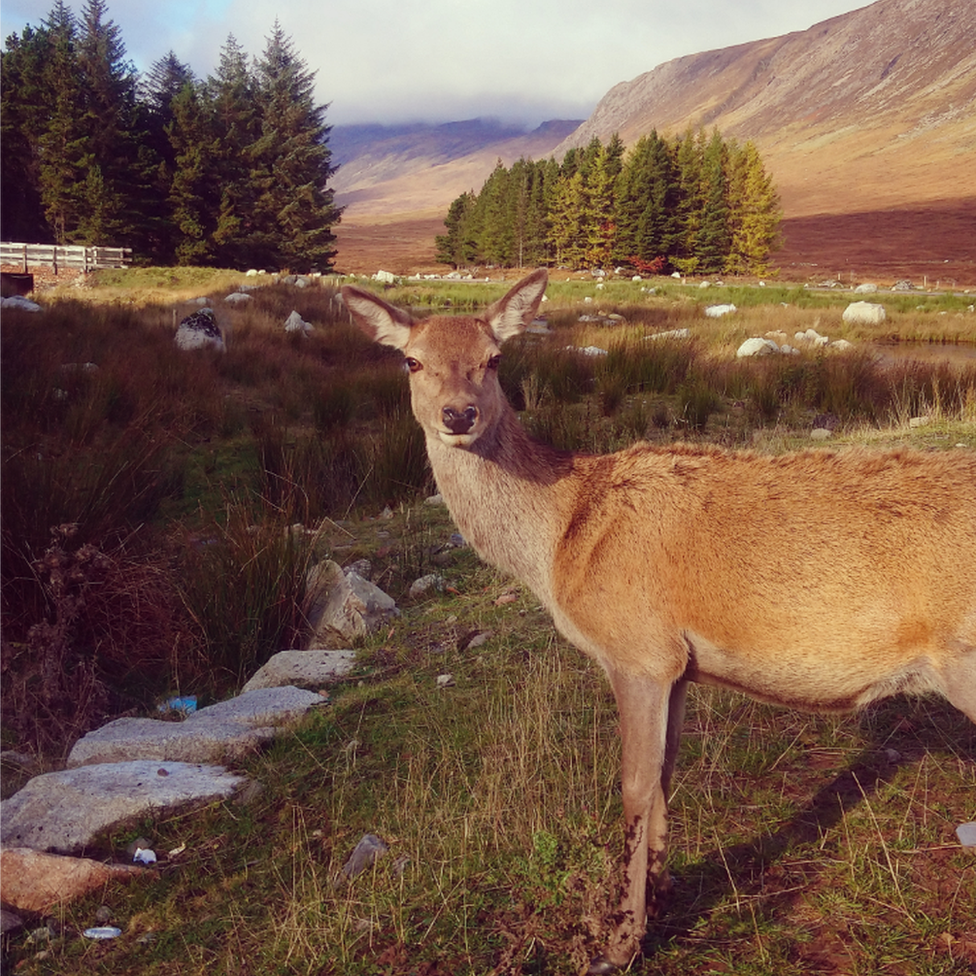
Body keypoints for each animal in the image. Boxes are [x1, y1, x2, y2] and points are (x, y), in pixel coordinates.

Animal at [346, 268, 976, 976]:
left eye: (495, 358)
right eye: (411, 359)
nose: (459, 413)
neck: (559, 544)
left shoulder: (638, 650)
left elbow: (634, 786)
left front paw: (618, 940)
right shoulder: (677, 666)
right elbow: (667, 775)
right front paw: (663, 891)